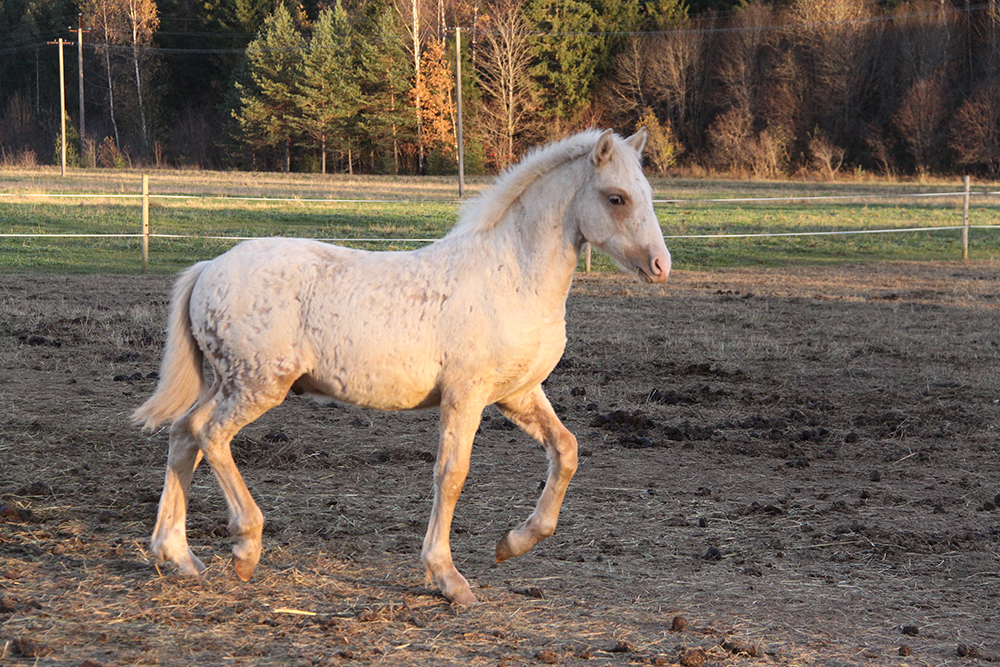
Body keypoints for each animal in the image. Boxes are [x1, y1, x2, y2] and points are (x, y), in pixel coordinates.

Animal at [133, 128, 671, 605]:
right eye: (617, 197)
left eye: (647, 193)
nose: (661, 265)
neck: (511, 275)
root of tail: (209, 267)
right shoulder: (465, 395)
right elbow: (451, 474)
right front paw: (448, 578)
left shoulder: (517, 394)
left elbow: (566, 450)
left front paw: (511, 544)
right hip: (258, 384)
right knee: (210, 434)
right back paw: (245, 546)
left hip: (225, 381)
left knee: (183, 434)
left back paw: (177, 556)